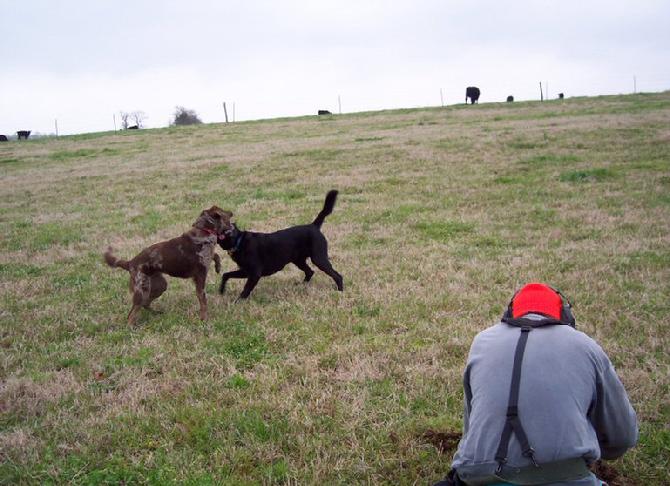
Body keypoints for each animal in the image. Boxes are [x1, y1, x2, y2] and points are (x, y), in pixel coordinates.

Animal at [103, 207, 232, 324]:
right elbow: (203, 301)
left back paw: (157, 313)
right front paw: (204, 319)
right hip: (143, 291)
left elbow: (215, 255)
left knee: (145, 304)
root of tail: (130, 262)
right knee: (131, 315)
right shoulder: (200, 277)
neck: (204, 230)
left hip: (159, 285)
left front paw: (218, 267)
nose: (232, 213)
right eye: (225, 214)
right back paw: (132, 327)